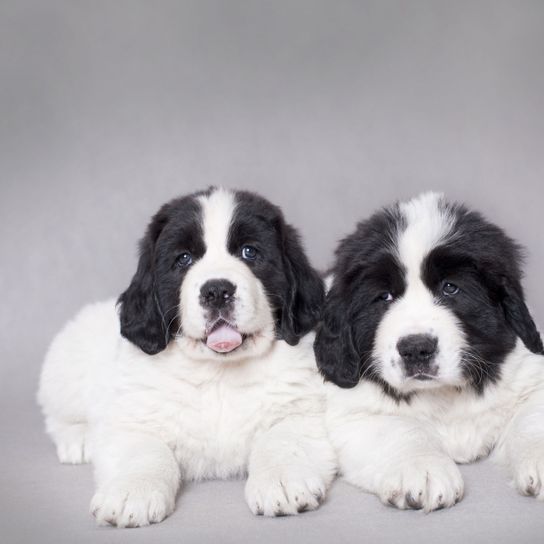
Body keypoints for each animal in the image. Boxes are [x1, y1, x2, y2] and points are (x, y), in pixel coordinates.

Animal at [37, 186, 336, 528]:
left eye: (249, 252)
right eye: (183, 259)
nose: (217, 291)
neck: (220, 373)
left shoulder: (302, 410)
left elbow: (283, 439)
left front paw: (282, 482)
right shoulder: (134, 417)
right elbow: (146, 450)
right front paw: (132, 493)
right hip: (67, 363)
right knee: (58, 415)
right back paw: (79, 441)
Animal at [314, 193, 544, 512]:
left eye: (450, 288)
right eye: (384, 297)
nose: (416, 349)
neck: (444, 394)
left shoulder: (528, 375)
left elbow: (532, 418)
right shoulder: (354, 412)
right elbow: (400, 430)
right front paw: (423, 469)